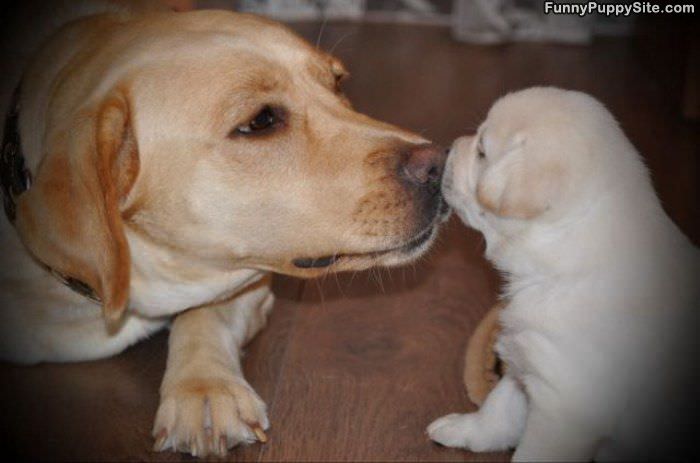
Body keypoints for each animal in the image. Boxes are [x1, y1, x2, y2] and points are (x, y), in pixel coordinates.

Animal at [430, 88, 696, 463]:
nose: (446, 149)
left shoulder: (564, 406)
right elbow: (498, 408)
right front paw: (465, 428)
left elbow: (531, 451)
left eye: (481, 151)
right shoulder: (527, 363)